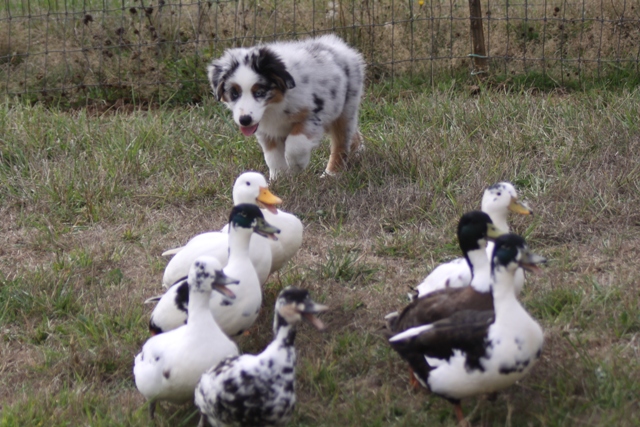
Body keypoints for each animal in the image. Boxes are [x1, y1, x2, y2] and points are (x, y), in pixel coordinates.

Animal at [207, 34, 365, 179]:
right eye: (234, 93)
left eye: (260, 92)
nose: (245, 120)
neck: (274, 106)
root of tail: (340, 46)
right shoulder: (267, 131)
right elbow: (272, 157)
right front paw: (278, 179)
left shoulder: (313, 115)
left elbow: (295, 144)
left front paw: (296, 166)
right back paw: (358, 152)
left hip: (345, 108)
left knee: (341, 142)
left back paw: (332, 173)